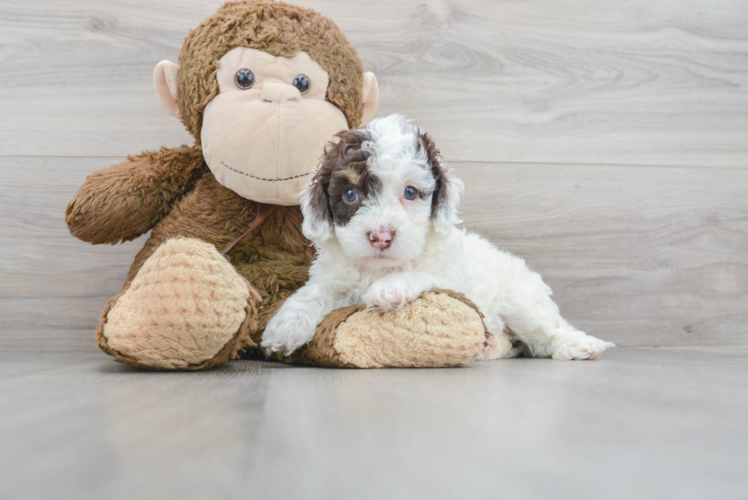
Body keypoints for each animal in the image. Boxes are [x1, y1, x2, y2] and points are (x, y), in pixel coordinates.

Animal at [260, 114, 616, 360]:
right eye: (350, 194)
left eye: (410, 192)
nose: (380, 237)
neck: (378, 267)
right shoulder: (335, 277)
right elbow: (315, 292)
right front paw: (286, 325)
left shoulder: (451, 279)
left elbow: (422, 274)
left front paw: (390, 288)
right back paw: (489, 346)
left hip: (522, 300)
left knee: (547, 332)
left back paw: (579, 345)